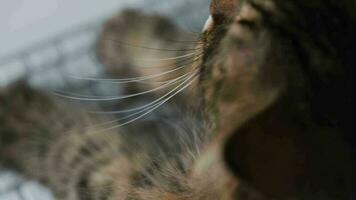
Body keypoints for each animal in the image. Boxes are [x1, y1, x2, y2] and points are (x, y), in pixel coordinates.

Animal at [0, 0, 356, 199]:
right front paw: (131, 36)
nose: (213, 6)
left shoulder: (149, 187)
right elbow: (186, 65)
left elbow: (77, 152)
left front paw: (18, 115)